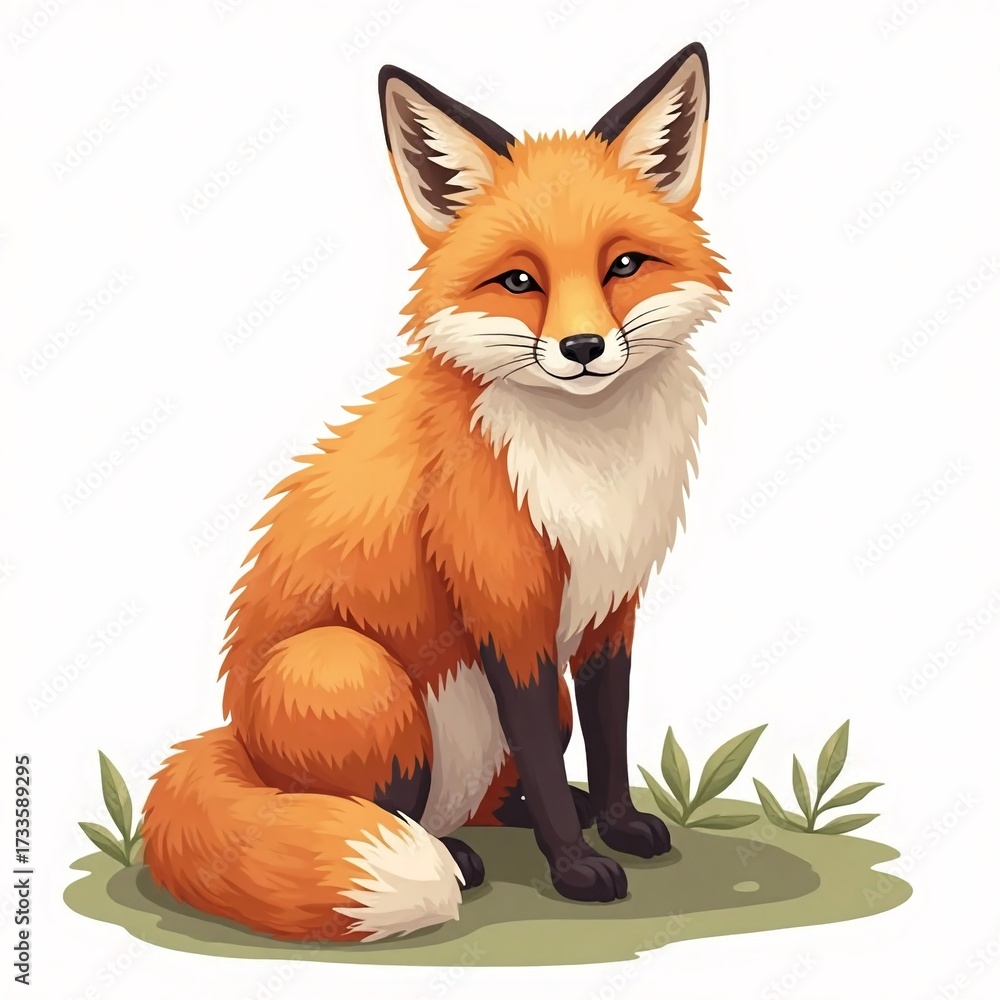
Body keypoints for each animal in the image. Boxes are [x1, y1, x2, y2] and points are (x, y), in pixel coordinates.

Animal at [142, 42, 729, 942]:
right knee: (389, 809)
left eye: (624, 265)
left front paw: (618, 823)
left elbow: (609, 731)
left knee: (499, 790)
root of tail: (232, 737)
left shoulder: (610, 609)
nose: (584, 348)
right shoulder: (507, 608)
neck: (589, 463)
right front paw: (576, 868)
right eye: (519, 281)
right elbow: (548, 762)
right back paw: (452, 857)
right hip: (353, 673)